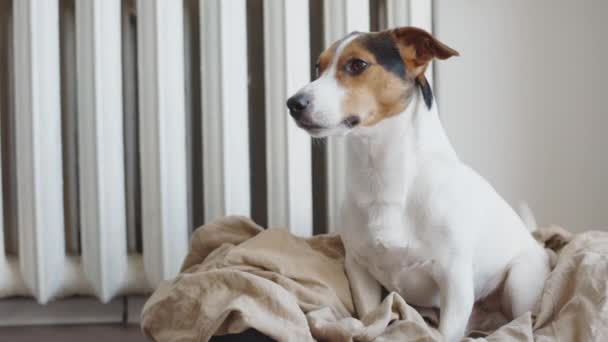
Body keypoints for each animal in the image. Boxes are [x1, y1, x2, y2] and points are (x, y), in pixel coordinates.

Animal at [284, 27, 552, 342]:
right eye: (318, 67)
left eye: (357, 65)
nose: (293, 103)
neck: (382, 174)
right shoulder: (359, 270)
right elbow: (371, 318)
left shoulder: (455, 281)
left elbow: (446, 333)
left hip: (519, 284)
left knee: (524, 319)